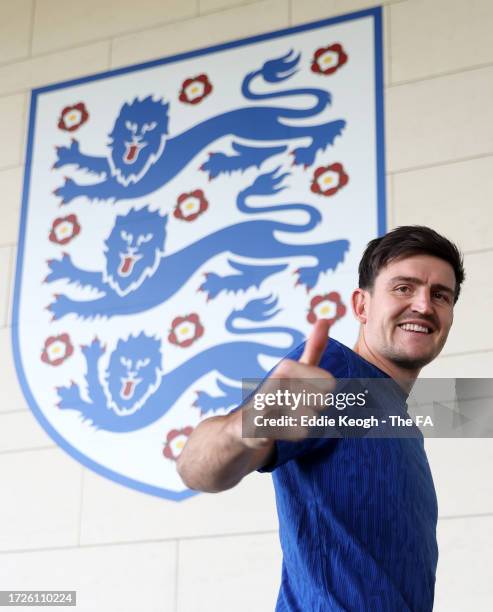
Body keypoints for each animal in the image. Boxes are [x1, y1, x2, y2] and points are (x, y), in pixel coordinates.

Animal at [44, 169, 348, 318]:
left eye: (144, 238)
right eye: (125, 237)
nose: (131, 249)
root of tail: (266, 222)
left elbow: (92, 304)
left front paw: (67, 304)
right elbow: (91, 279)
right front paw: (64, 269)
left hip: (253, 250)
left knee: (318, 248)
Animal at [53, 51, 344, 204]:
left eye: (149, 126)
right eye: (130, 125)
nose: (136, 134)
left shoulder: (131, 186)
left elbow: (98, 188)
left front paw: (72, 189)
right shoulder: (119, 170)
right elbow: (98, 164)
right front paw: (71, 156)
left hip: (257, 132)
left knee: (324, 127)